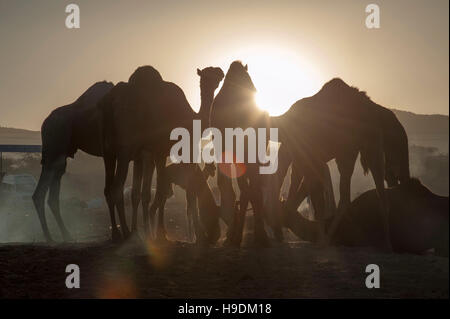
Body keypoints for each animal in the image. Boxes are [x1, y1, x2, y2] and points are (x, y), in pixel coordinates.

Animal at [32, 82, 113, 242]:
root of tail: (45, 123)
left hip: (60, 156)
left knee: (52, 195)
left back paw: (65, 235)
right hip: (54, 149)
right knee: (41, 193)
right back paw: (51, 237)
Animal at [100, 65, 223, 245]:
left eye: (215, 74)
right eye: (207, 75)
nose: (219, 73)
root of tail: (109, 102)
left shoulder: (154, 153)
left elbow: (153, 192)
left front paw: (155, 234)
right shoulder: (162, 150)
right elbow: (175, 191)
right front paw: (164, 234)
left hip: (108, 151)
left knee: (109, 188)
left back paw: (118, 233)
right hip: (125, 149)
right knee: (117, 188)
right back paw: (127, 232)